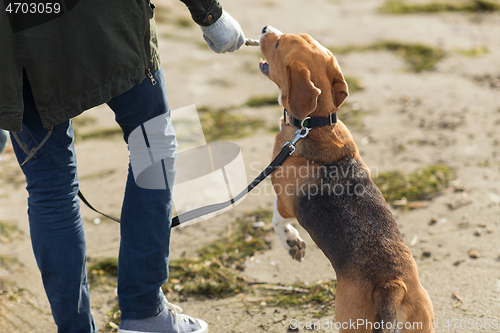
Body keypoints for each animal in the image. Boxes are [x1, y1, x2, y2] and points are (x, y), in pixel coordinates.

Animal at [258, 26, 434, 332]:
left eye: (278, 44)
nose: (265, 29)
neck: (315, 125)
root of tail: (392, 284)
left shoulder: (284, 201)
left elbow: (277, 221)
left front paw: (292, 244)